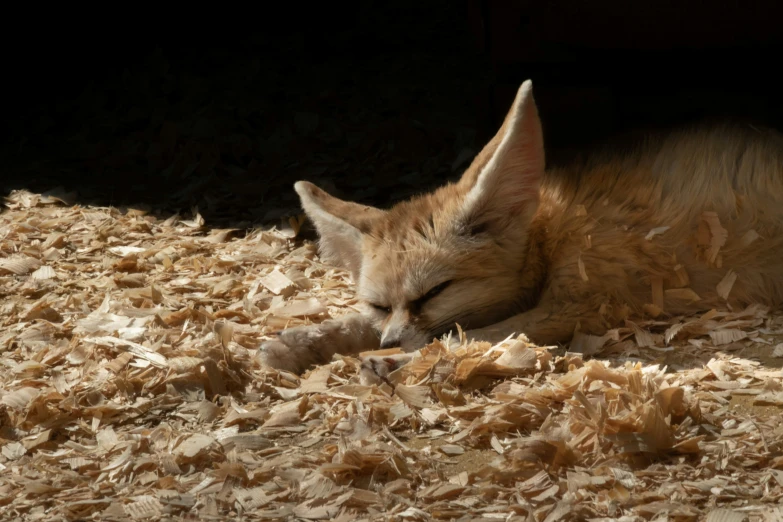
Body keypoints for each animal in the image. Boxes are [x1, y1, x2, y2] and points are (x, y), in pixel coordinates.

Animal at [260, 80, 783, 374]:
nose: (389, 343)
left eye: (433, 293)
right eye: (378, 305)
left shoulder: (575, 308)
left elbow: (462, 339)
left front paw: (392, 361)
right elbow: (364, 326)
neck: (552, 234)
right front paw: (300, 343)